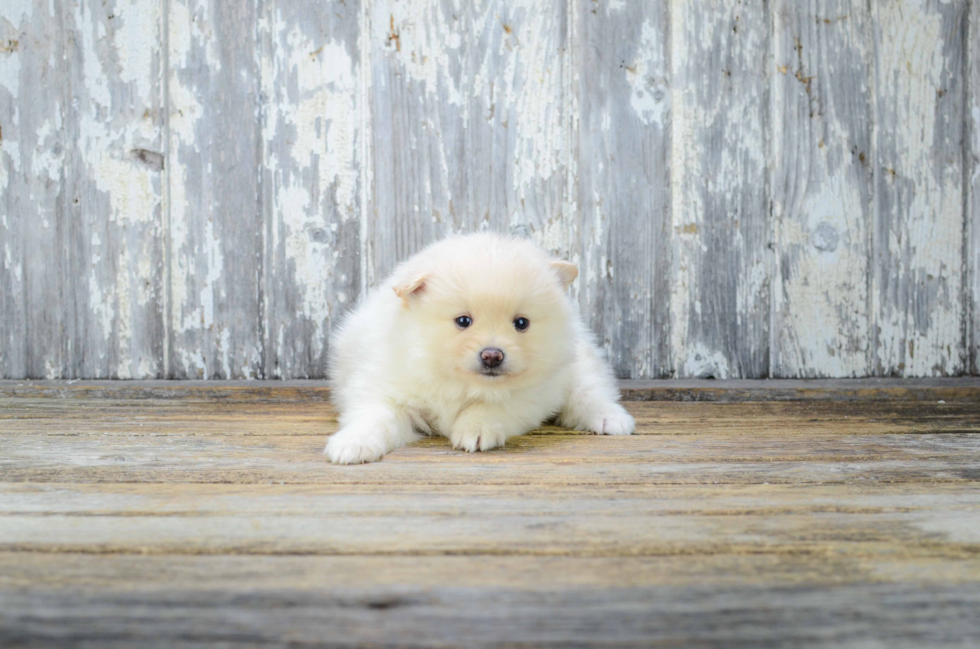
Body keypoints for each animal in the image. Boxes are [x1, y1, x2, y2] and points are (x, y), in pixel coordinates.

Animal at [326, 230, 636, 464]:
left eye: (521, 323)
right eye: (463, 321)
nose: (492, 355)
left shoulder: (533, 394)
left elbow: (490, 406)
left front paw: (476, 429)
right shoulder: (384, 386)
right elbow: (375, 417)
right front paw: (353, 444)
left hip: (580, 366)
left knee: (591, 393)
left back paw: (611, 419)